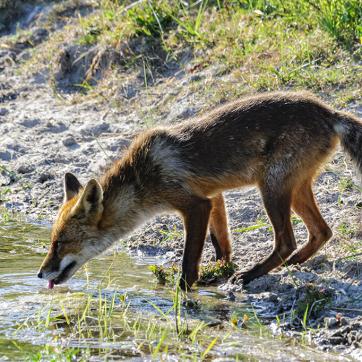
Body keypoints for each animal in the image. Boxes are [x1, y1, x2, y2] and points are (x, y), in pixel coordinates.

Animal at [38, 92, 360, 290]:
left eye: (60, 243)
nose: (40, 274)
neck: (141, 176)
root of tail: (328, 111)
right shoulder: (212, 196)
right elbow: (222, 246)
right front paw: (217, 272)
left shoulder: (194, 205)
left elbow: (189, 258)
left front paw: (184, 289)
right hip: (294, 189)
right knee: (321, 232)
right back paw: (290, 264)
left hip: (271, 188)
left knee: (286, 241)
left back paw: (253, 274)